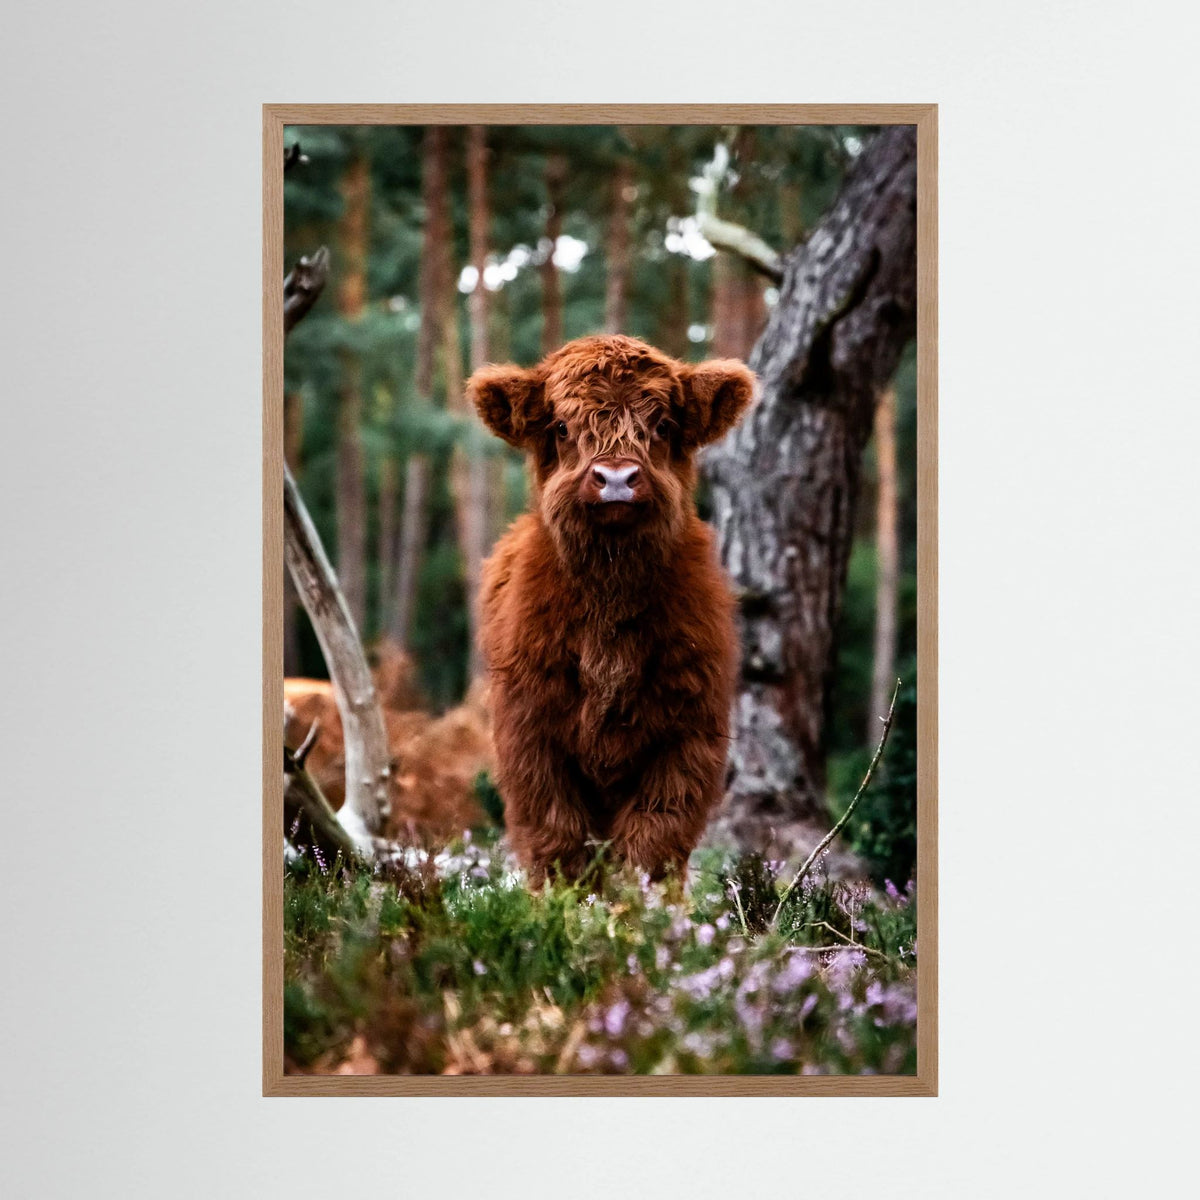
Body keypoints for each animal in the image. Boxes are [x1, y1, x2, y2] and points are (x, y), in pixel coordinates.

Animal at [467, 334, 756, 886]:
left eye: (662, 425)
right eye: (562, 426)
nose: (617, 478)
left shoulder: (688, 738)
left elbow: (653, 840)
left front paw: (642, 907)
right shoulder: (530, 736)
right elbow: (555, 837)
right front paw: (559, 904)